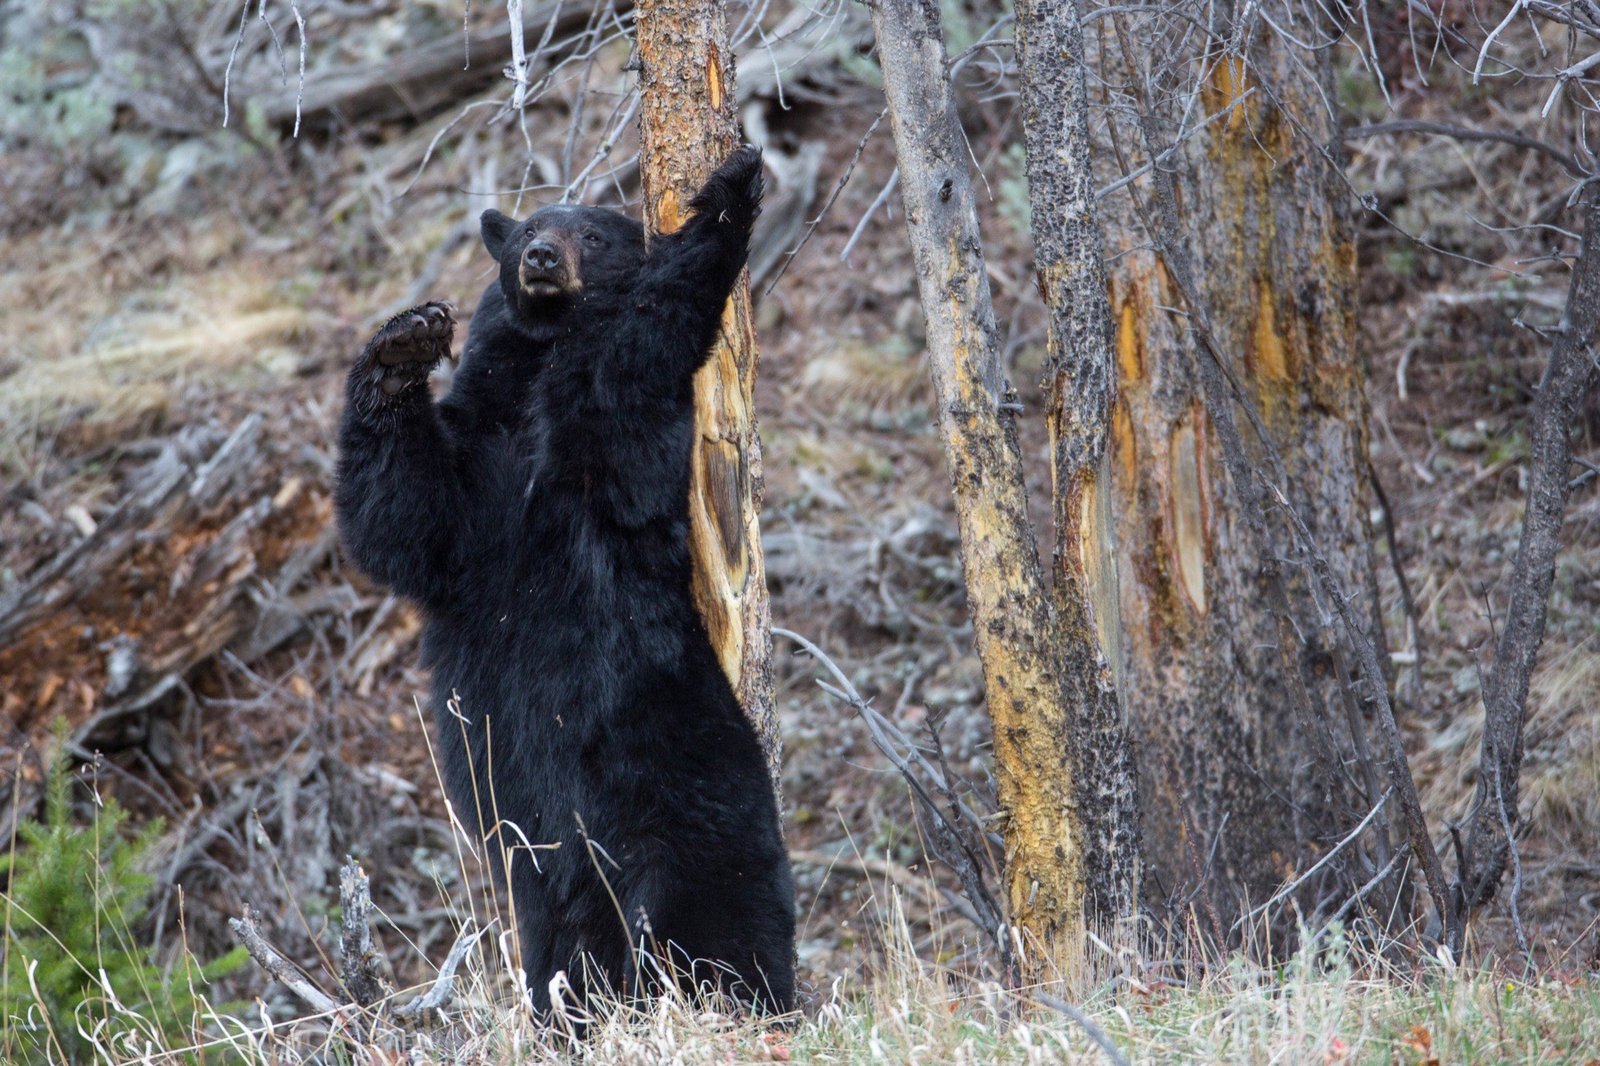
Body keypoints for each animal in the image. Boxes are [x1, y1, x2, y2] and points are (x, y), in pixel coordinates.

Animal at [334, 146, 795, 1021]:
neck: (539, 360)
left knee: (720, 887)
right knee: (561, 933)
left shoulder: (611, 444)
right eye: (526, 234)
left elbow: (628, 364)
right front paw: (402, 345)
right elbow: (407, 520)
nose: (544, 259)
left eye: (593, 233)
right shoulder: (477, 462)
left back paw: (746, 996)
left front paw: (727, 193)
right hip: (528, 842)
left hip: (678, 765)